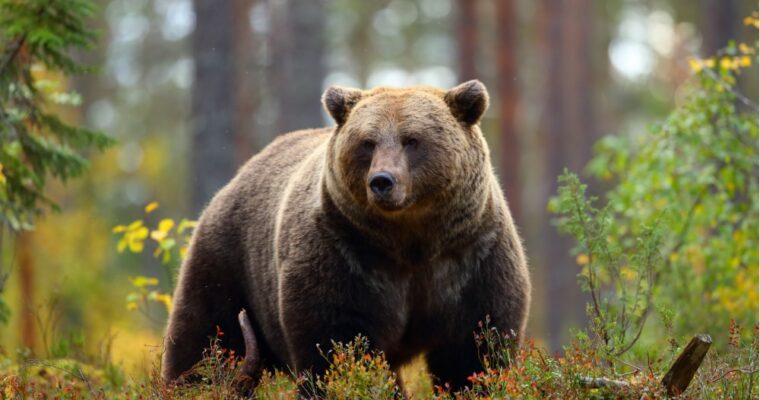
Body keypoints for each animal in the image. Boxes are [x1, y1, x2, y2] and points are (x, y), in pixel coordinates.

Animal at [161, 80, 531, 391]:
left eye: (412, 140)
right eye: (368, 142)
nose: (382, 181)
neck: (411, 241)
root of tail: (239, 176)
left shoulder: (471, 256)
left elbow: (474, 350)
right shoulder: (344, 254)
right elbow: (338, 344)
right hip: (229, 261)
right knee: (205, 339)